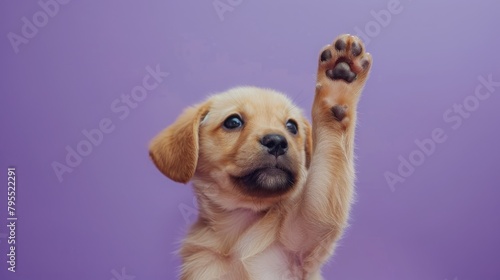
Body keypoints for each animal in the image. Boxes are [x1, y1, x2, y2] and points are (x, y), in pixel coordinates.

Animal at [148, 35, 372, 280]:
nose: (276, 141)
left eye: (291, 126)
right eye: (233, 122)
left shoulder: (308, 229)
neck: (239, 229)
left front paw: (340, 83)